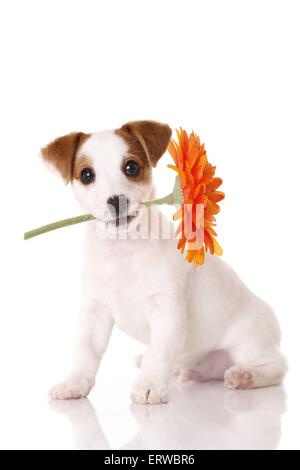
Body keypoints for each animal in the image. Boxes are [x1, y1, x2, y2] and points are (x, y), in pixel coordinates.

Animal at [41, 120, 286, 404]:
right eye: (87, 175)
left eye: (131, 167)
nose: (116, 200)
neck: (122, 250)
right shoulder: (95, 311)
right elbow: (85, 350)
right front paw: (74, 382)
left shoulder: (166, 311)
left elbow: (159, 351)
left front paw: (149, 384)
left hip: (250, 343)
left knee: (278, 365)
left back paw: (245, 376)